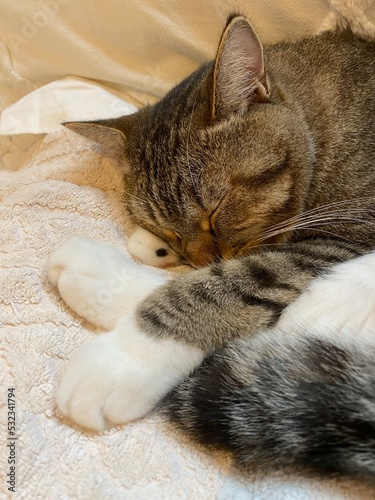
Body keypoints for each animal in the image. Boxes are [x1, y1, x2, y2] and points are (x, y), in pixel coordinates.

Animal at [50, 15, 375, 482]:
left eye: (214, 209)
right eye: (169, 228)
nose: (201, 257)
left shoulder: (346, 236)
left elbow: (223, 287)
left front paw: (124, 361)